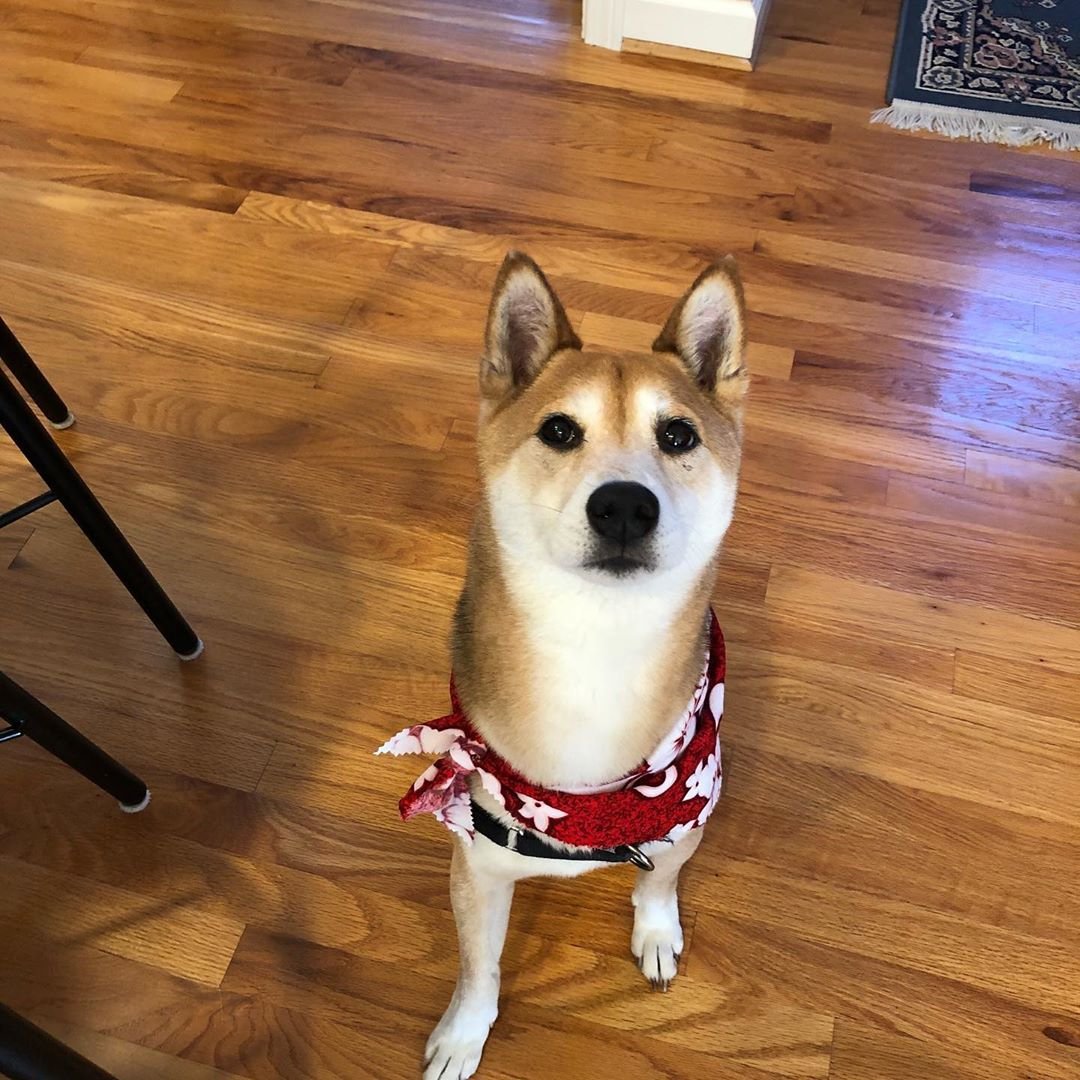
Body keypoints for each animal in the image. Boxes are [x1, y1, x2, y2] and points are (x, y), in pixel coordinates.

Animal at [382, 248, 751, 1075]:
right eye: (557, 429)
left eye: (678, 435)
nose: (624, 506)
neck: (595, 644)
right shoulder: (478, 866)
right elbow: (479, 967)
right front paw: (465, 1033)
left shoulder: (684, 822)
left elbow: (659, 885)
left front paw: (655, 933)